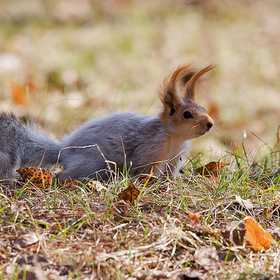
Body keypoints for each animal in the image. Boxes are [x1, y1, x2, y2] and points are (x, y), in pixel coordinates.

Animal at [0, 64, 214, 185]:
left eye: (204, 108)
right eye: (187, 114)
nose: (210, 124)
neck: (175, 138)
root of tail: (63, 151)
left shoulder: (174, 159)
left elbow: (170, 175)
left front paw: (174, 184)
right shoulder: (150, 150)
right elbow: (145, 171)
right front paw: (149, 183)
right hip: (95, 165)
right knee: (64, 175)